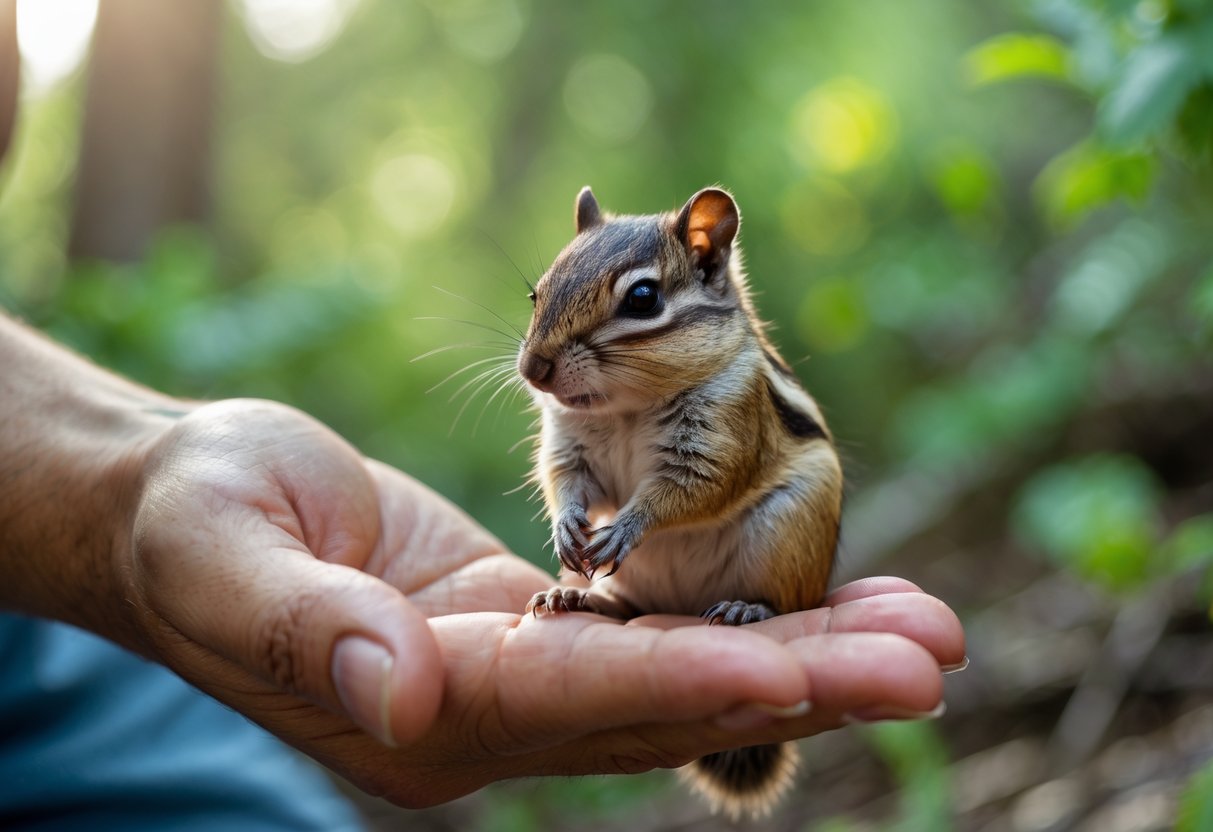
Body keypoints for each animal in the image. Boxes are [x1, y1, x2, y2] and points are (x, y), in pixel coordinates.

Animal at [516, 185, 843, 818]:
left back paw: (747, 609)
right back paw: (578, 598)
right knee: (632, 608)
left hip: (788, 530)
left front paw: (627, 526)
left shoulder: (721, 433)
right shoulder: (570, 444)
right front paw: (567, 527)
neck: (626, 407)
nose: (532, 369)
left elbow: (693, 488)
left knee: (790, 602)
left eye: (643, 298)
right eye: (535, 293)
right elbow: (564, 478)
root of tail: (687, 606)